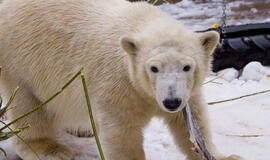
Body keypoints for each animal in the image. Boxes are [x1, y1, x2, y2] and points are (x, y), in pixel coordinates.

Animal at [0, 0, 240, 160]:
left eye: (187, 66)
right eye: (153, 68)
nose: (171, 102)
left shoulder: (186, 92)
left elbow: (191, 122)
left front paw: (224, 156)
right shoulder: (117, 84)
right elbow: (122, 133)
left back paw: (83, 130)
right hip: (21, 60)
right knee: (27, 105)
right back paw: (50, 149)